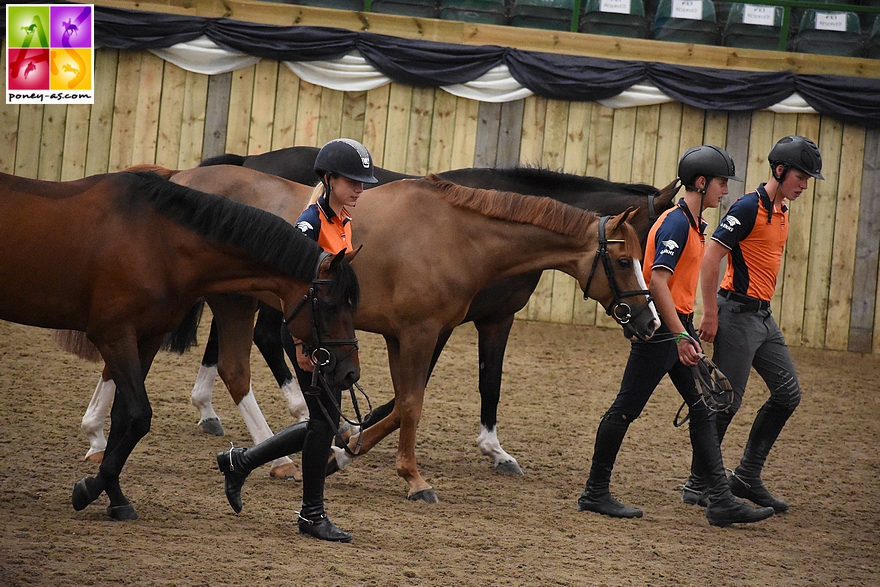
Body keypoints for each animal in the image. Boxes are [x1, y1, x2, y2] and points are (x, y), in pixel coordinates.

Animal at [0, 169, 360, 520]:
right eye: (330, 306)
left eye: (351, 304)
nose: (350, 373)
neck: (156, 241)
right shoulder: (113, 334)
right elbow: (138, 415)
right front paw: (89, 490)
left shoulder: (147, 335)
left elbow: (124, 417)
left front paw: (114, 497)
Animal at [82, 163, 660, 504]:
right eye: (625, 260)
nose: (652, 322)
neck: (458, 236)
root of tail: (185, 178)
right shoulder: (421, 332)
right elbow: (411, 404)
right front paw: (412, 477)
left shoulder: (411, 336)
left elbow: (404, 402)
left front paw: (343, 450)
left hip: (231, 301)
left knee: (226, 367)